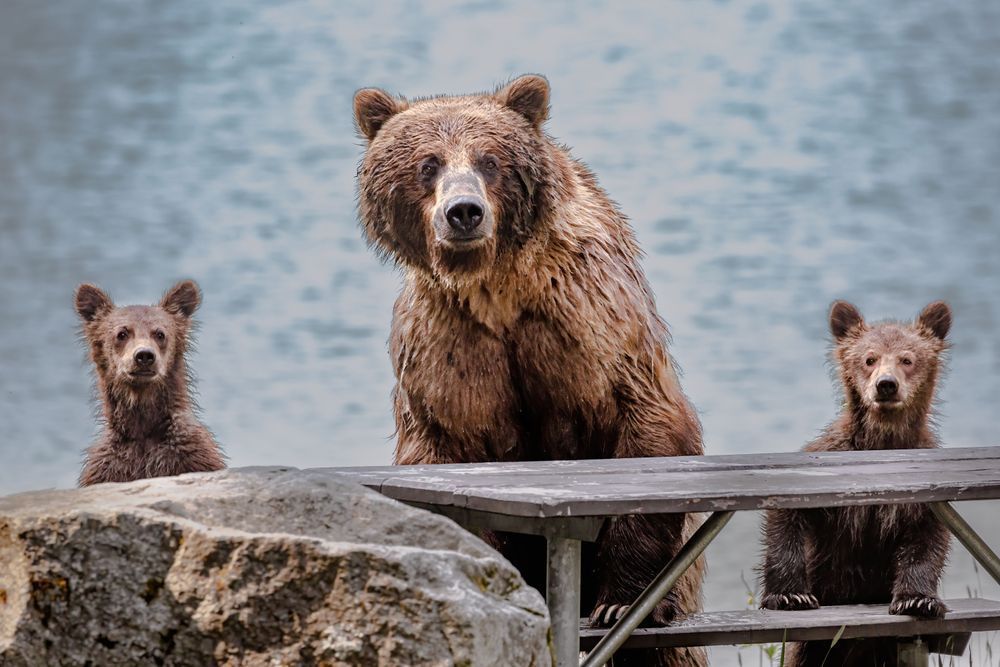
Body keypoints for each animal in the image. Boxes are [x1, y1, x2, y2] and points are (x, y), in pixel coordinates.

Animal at [75, 280, 225, 486]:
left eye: (160, 334)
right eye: (122, 333)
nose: (144, 355)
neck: (143, 431)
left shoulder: (190, 457)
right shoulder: (110, 468)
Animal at [354, 75, 705, 667]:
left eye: (489, 159)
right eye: (428, 163)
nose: (464, 212)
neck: (500, 288)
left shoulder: (588, 320)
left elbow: (646, 424)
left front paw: (622, 600)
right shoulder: (448, 349)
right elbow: (445, 453)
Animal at [760, 300, 953, 666]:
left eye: (907, 359)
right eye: (869, 358)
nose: (886, 385)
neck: (882, 442)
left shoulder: (924, 486)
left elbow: (927, 537)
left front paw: (918, 600)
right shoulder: (827, 461)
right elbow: (787, 513)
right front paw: (792, 595)